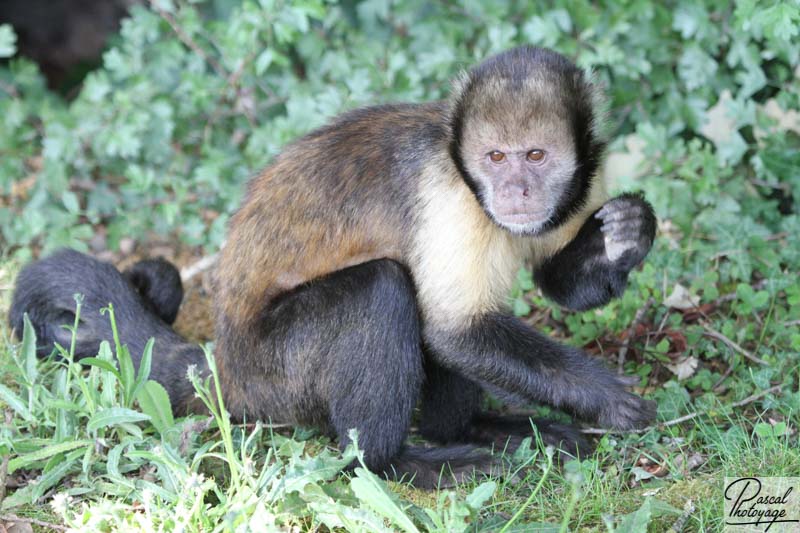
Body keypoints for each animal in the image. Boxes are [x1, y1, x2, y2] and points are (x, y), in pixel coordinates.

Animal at [7, 45, 656, 486]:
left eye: (536, 156)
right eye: (495, 157)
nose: (515, 190)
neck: (471, 184)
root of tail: (228, 367)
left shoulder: (588, 173)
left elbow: (551, 285)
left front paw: (628, 235)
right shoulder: (448, 198)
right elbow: (456, 332)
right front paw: (606, 398)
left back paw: (471, 431)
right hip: (279, 376)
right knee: (386, 287)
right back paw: (394, 462)